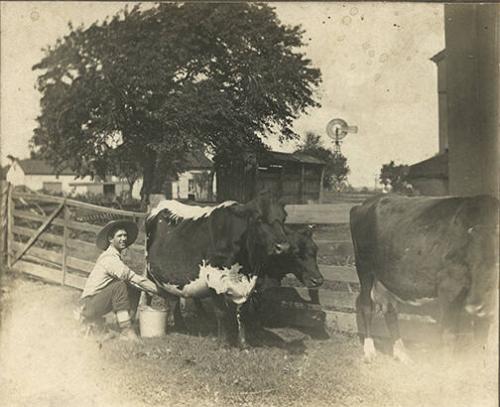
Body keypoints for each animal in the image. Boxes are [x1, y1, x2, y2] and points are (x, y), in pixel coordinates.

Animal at [145, 191, 292, 348]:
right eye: (259, 218)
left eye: (283, 218)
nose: (283, 247)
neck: (244, 267)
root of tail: (162, 204)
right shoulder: (215, 280)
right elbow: (222, 312)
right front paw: (224, 343)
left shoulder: (250, 283)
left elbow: (243, 313)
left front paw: (244, 344)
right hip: (149, 269)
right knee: (149, 294)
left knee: (173, 298)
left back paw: (181, 326)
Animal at [350, 194, 498, 364]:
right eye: (469, 259)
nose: (475, 305)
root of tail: (367, 202)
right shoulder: (449, 287)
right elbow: (450, 334)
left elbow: (482, 335)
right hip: (364, 267)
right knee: (366, 306)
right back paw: (369, 352)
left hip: (386, 277)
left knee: (390, 310)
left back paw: (402, 354)